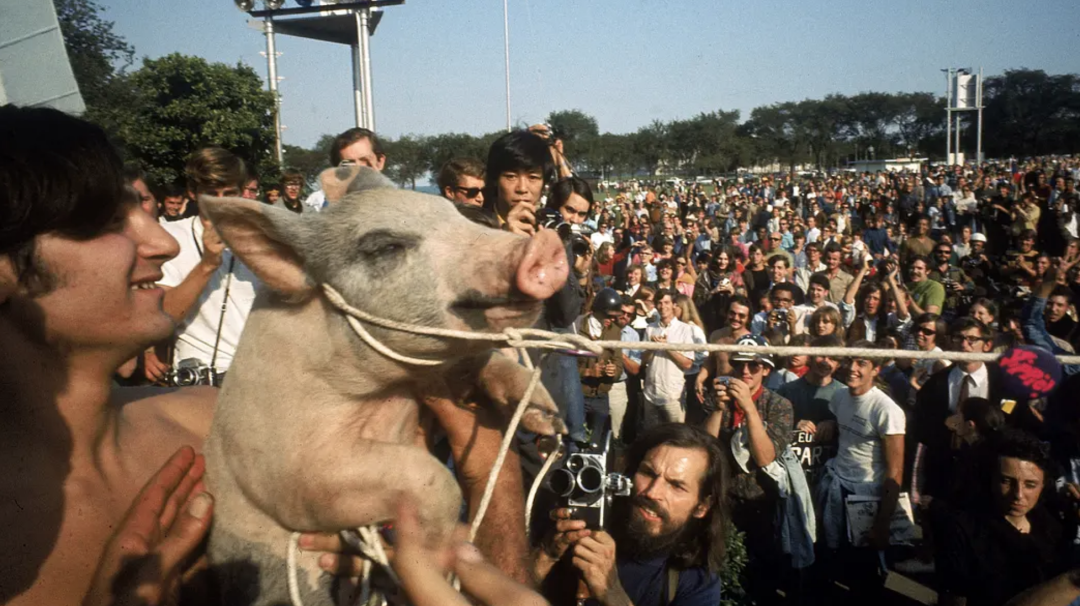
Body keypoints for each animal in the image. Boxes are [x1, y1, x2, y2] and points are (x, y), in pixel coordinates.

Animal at [200, 166, 569, 606]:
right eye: (384, 247)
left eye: (455, 215)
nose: (545, 244)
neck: (386, 391)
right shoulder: (291, 468)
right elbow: (431, 477)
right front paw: (436, 553)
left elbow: (485, 363)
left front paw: (550, 419)